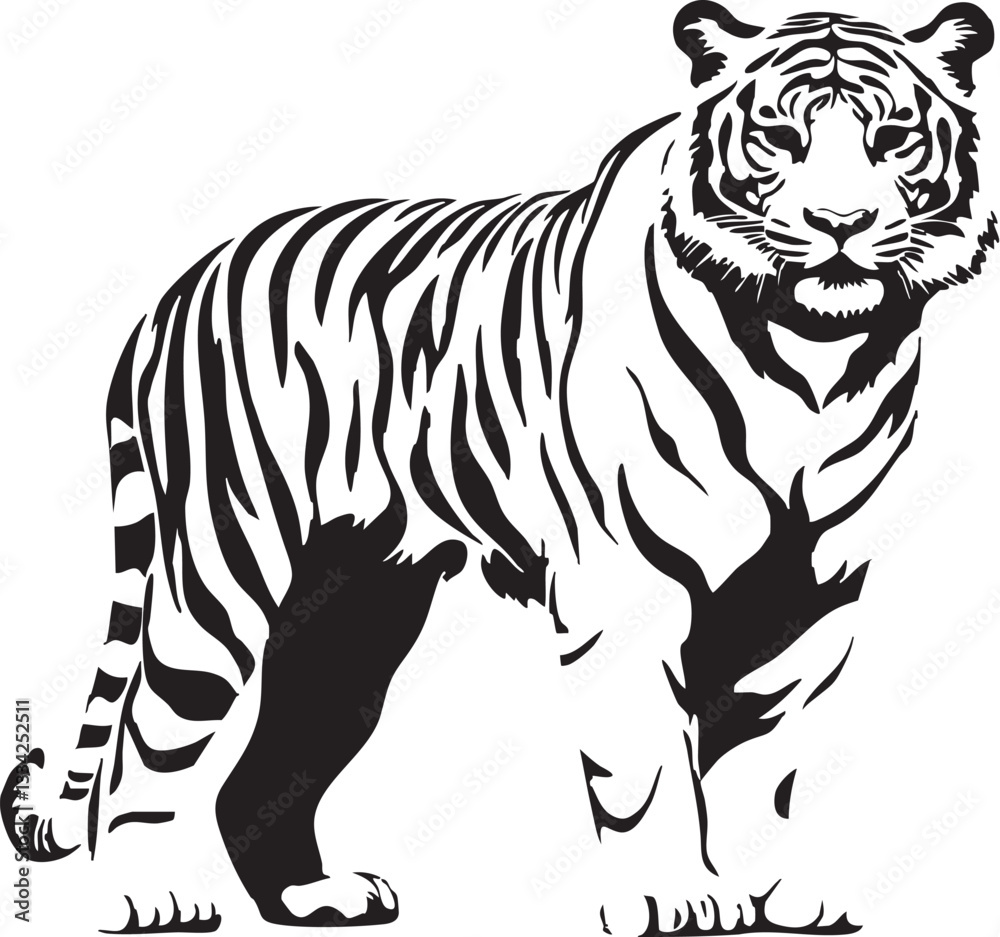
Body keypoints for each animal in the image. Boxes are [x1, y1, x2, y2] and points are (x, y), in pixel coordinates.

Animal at [4, 2, 996, 933]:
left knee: (269, 761)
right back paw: (150, 897)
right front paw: (671, 896)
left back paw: (313, 896)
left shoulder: (809, 594)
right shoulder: (625, 590)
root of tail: (177, 291)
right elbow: (647, 766)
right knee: (144, 740)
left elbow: (766, 757)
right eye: (780, 139)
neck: (811, 358)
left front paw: (774, 896)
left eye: (892, 139)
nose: (841, 225)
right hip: (221, 570)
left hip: (352, 609)